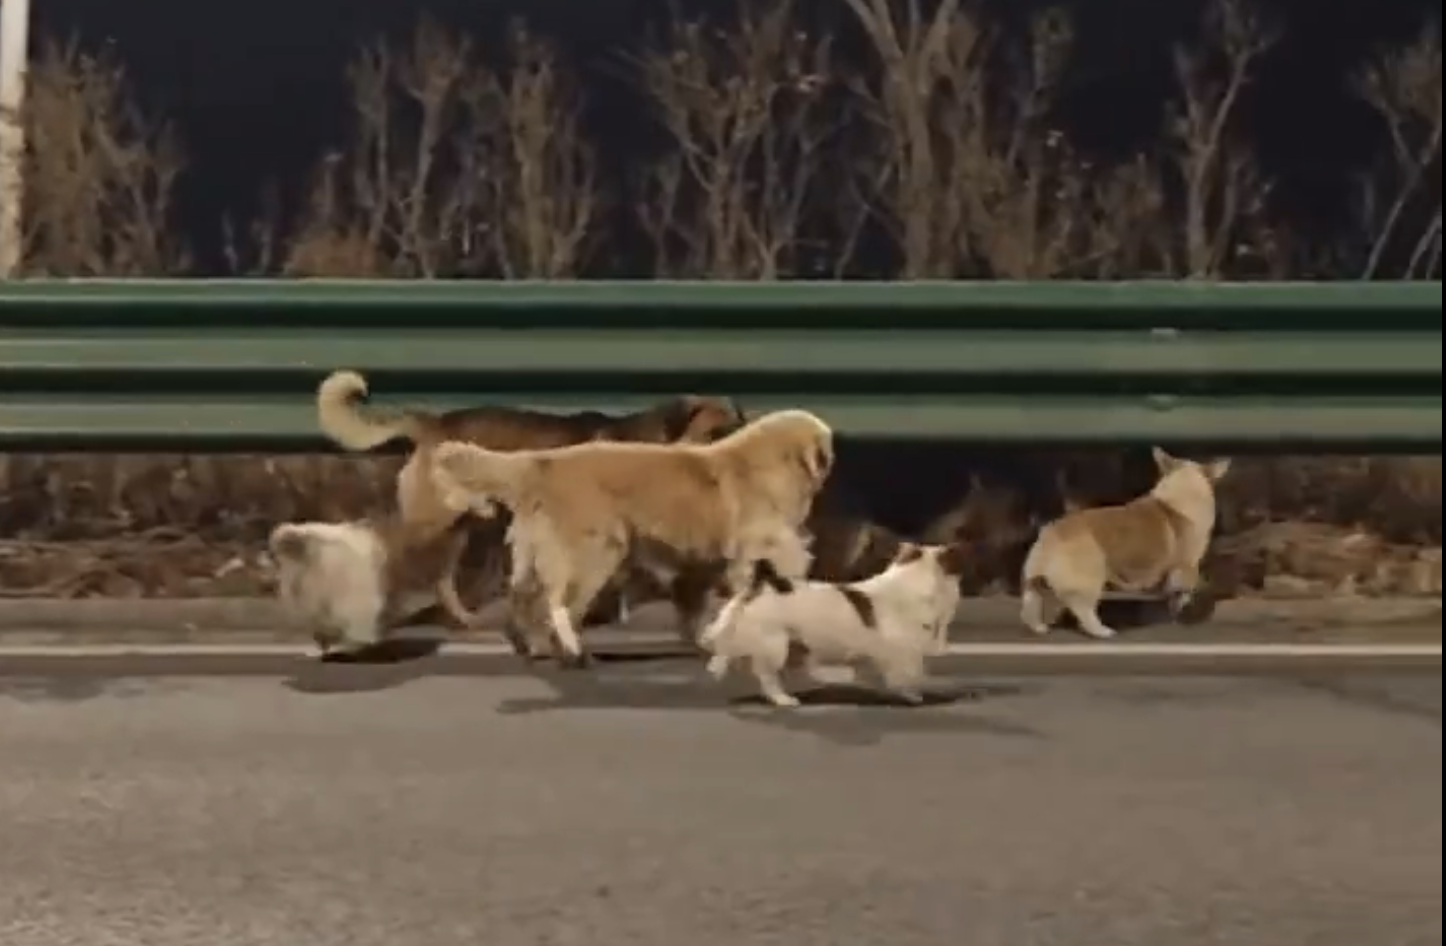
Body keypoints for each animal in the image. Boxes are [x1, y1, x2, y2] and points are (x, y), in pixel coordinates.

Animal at [430, 408, 835, 667]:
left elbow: (697, 604)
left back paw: (532, 645)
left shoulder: (701, 564)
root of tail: (541, 462)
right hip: (598, 552)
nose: (831, 460)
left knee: (524, 598)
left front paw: (705, 640)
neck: (768, 462)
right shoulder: (757, 549)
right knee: (557, 604)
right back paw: (572, 652)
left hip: (534, 552)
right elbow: (763, 583)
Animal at [698, 541, 970, 707]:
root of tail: (765, 582)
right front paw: (914, 694)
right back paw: (783, 699)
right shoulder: (903, 649)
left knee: (727, 646)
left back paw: (717, 667)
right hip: (775, 643)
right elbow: (911, 672)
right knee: (766, 675)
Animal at [1020, 447, 1231, 639]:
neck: (1183, 489)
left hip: (1035, 578)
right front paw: (1180, 610)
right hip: (1090, 578)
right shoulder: (1186, 566)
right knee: (1083, 608)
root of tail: (1051, 533)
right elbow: (1182, 591)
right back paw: (1102, 631)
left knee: (1033, 600)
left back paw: (1039, 626)